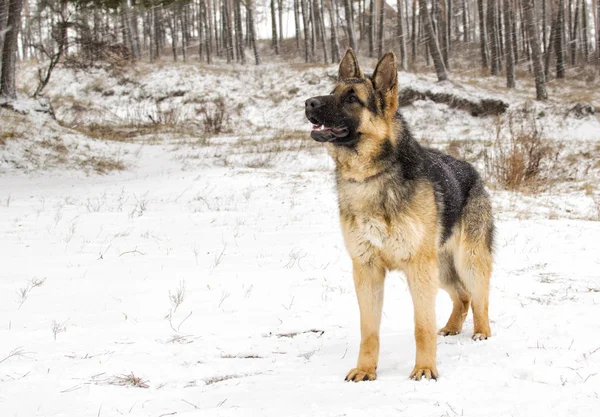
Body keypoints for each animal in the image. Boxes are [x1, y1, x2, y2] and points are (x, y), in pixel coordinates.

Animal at [304, 48, 492, 380]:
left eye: (352, 98)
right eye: (332, 91)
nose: (308, 103)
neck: (370, 176)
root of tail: (472, 171)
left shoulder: (418, 268)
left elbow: (422, 325)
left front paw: (425, 369)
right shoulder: (366, 270)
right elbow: (369, 330)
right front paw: (365, 369)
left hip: (466, 261)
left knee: (480, 296)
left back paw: (481, 332)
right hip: (442, 270)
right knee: (462, 296)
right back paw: (452, 327)